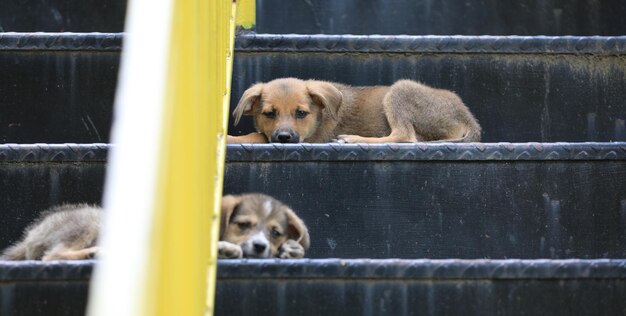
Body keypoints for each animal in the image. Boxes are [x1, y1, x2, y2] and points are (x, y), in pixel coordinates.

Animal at [227, 78, 480, 143]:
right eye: (269, 114)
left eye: (301, 113)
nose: (284, 138)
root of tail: (469, 118)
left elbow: (257, 136)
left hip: (401, 89)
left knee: (405, 136)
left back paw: (352, 138)